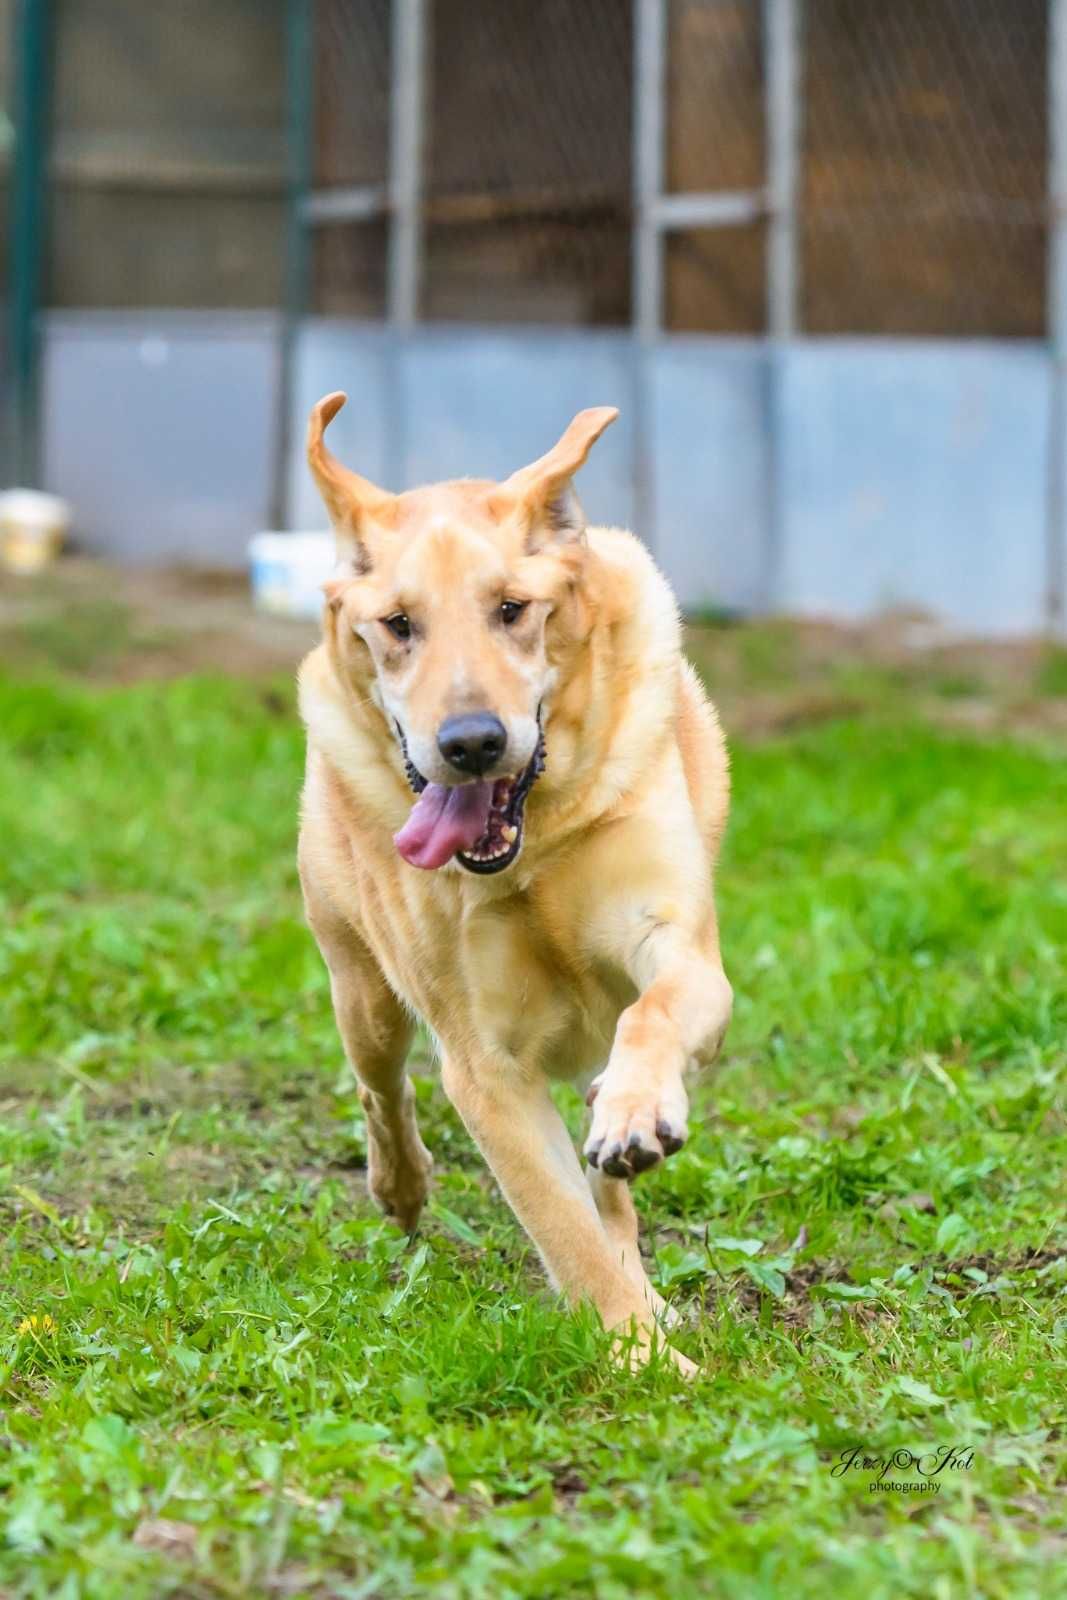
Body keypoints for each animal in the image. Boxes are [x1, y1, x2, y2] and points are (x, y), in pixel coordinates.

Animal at [300, 393, 735, 1369]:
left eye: (512, 610)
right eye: (398, 625)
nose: (471, 743)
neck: (531, 847)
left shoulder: (679, 949)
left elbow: (655, 1016)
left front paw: (638, 1117)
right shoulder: (484, 1066)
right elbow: (561, 1229)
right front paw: (642, 1360)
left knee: (607, 1174)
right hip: (361, 992)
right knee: (380, 1087)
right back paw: (401, 1189)